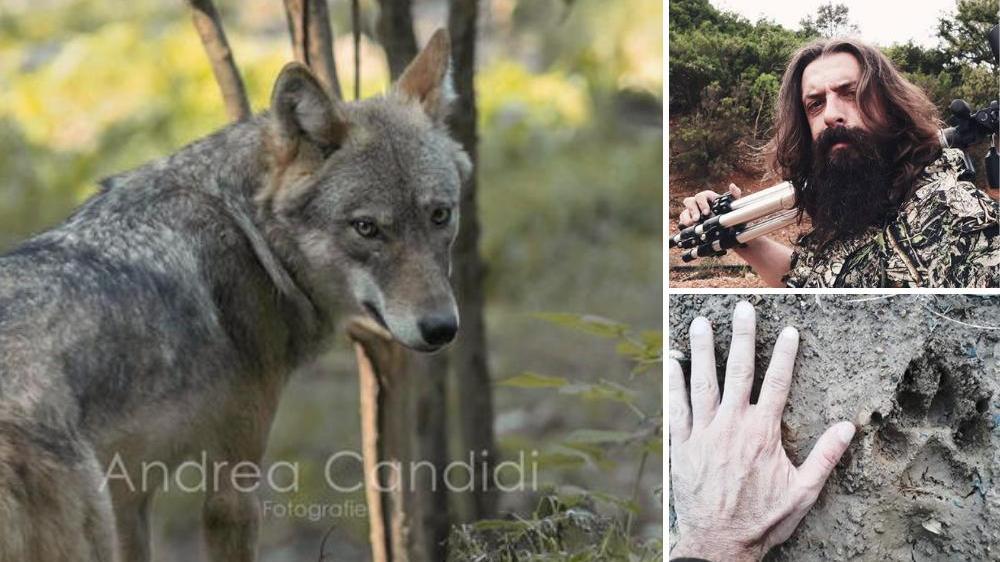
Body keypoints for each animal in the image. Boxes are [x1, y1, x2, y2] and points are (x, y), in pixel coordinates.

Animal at [0, 29, 468, 562]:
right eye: (366, 228)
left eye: (440, 215)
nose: (441, 328)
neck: (252, 235)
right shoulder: (233, 483)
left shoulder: (130, 493)